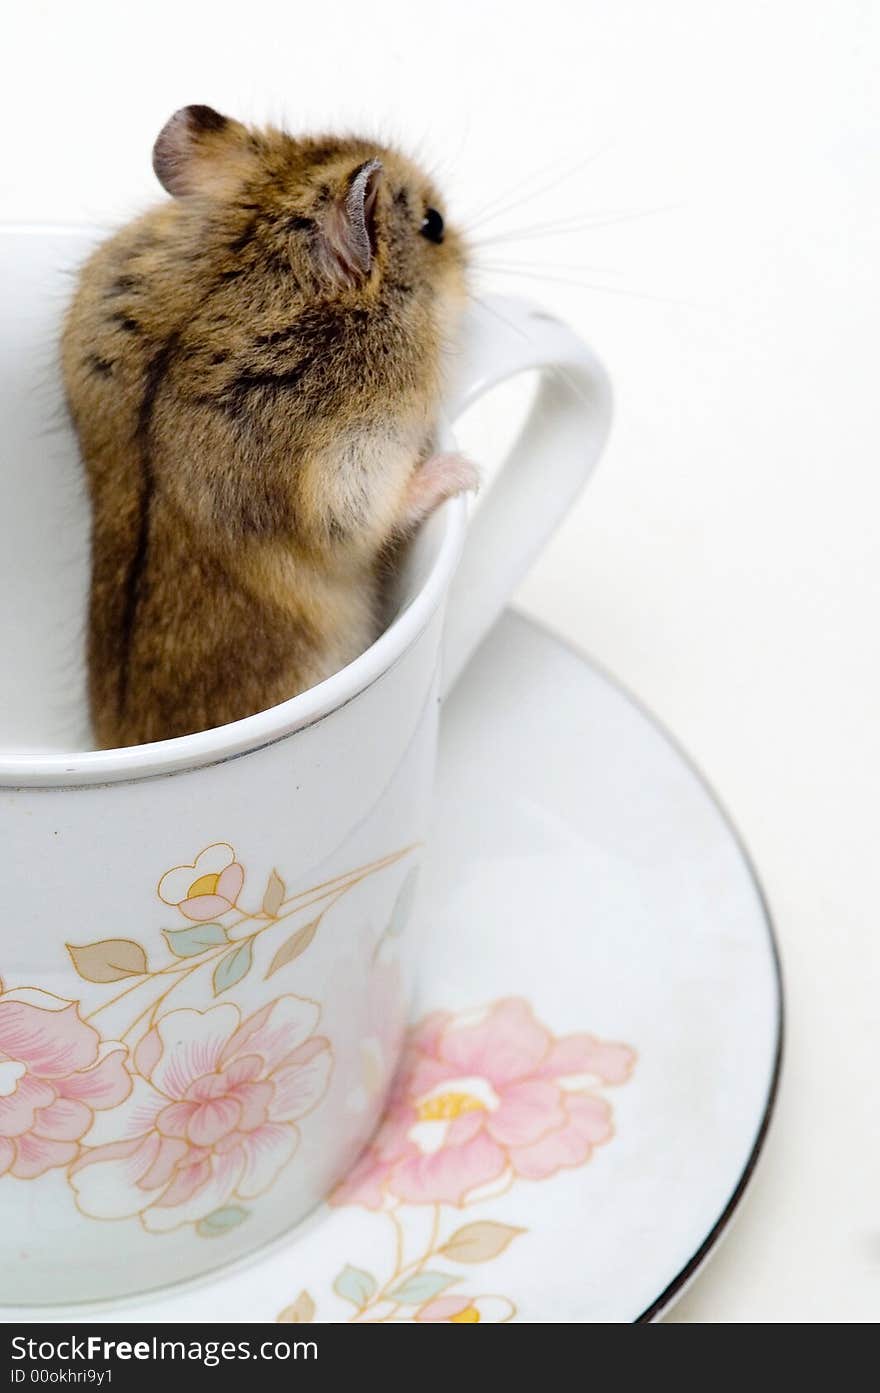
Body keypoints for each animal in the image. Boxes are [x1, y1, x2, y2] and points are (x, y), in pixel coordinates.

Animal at [60, 105, 473, 752]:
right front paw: (465, 472)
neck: (256, 250)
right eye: (433, 224)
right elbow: (370, 514)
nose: (471, 261)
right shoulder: (349, 464)